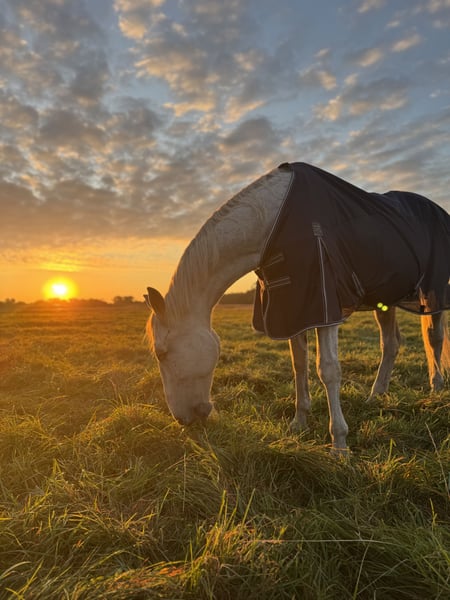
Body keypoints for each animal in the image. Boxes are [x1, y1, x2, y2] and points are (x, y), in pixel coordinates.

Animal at [145, 162, 450, 453]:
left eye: (161, 353)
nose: (184, 420)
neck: (272, 223)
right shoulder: (294, 310)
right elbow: (299, 365)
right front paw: (299, 423)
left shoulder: (325, 310)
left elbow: (328, 370)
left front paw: (339, 446)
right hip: (384, 300)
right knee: (391, 344)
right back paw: (376, 396)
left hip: (433, 293)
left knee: (434, 337)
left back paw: (435, 391)